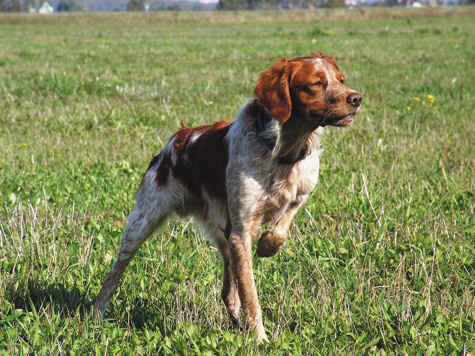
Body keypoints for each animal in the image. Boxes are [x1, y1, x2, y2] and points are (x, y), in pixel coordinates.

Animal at [96, 52, 364, 342]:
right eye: (316, 83)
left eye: (341, 80)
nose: (356, 98)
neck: (283, 150)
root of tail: (174, 141)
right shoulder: (241, 231)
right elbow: (251, 294)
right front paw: (260, 339)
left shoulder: (299, 194)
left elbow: (282, 226)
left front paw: (267, 246)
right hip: (143, 222)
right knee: (115, 271)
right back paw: (95, 314)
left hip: (223, 232)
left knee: (228, 291)